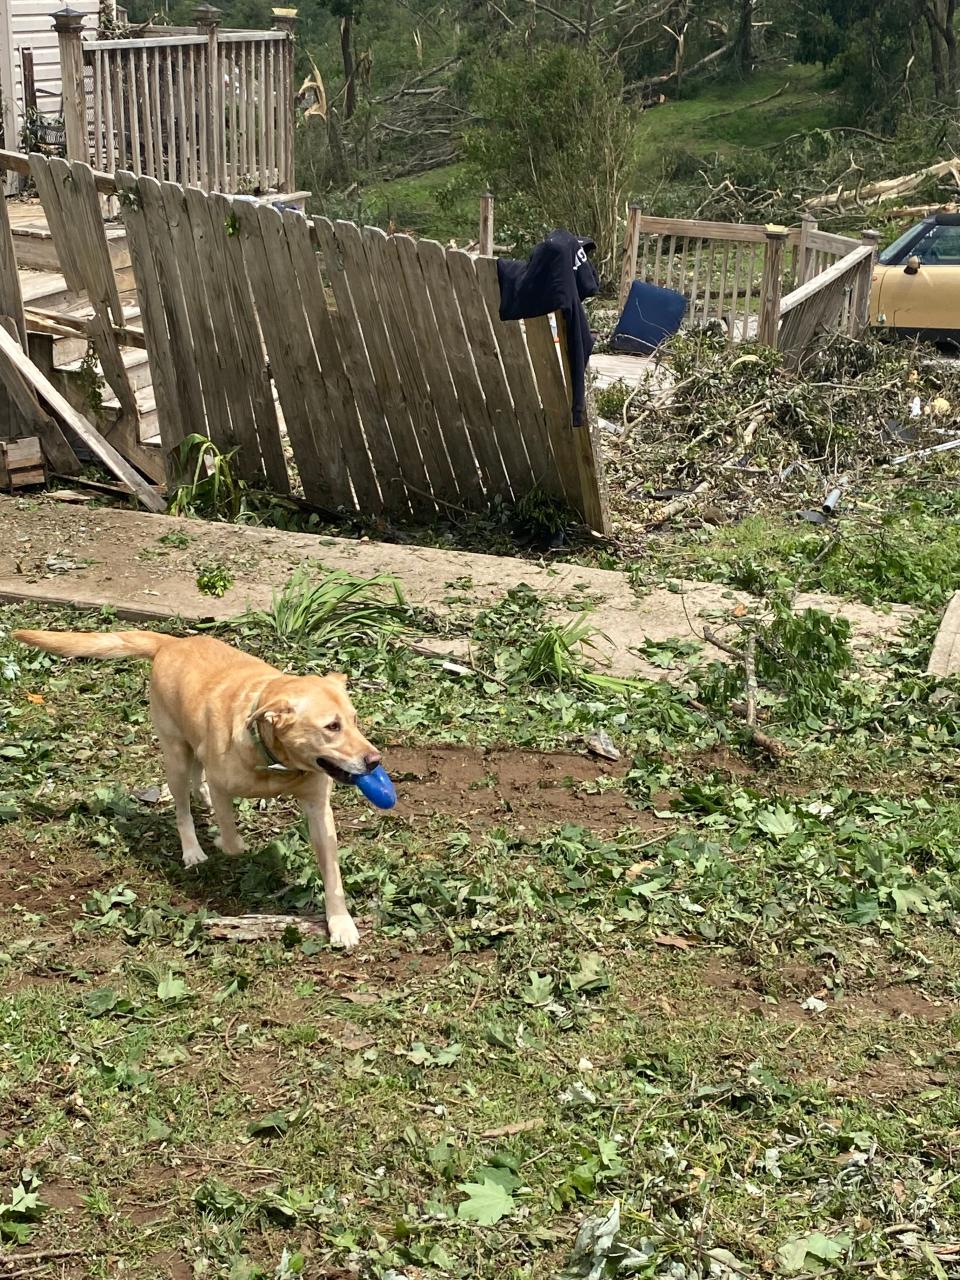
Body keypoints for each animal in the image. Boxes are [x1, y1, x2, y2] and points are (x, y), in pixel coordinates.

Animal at [13, 629, 384, 952]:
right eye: (331, 727)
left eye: (354, 720)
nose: (375, 760)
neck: (273, 757)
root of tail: (172, 643)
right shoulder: (223, 788)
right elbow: (232, 840)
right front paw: (223, 842)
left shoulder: (319, 810)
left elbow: (333, 876)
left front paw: (341, 924)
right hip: (174, 755)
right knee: (182, 807)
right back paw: (192, 848)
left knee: (197, 773)